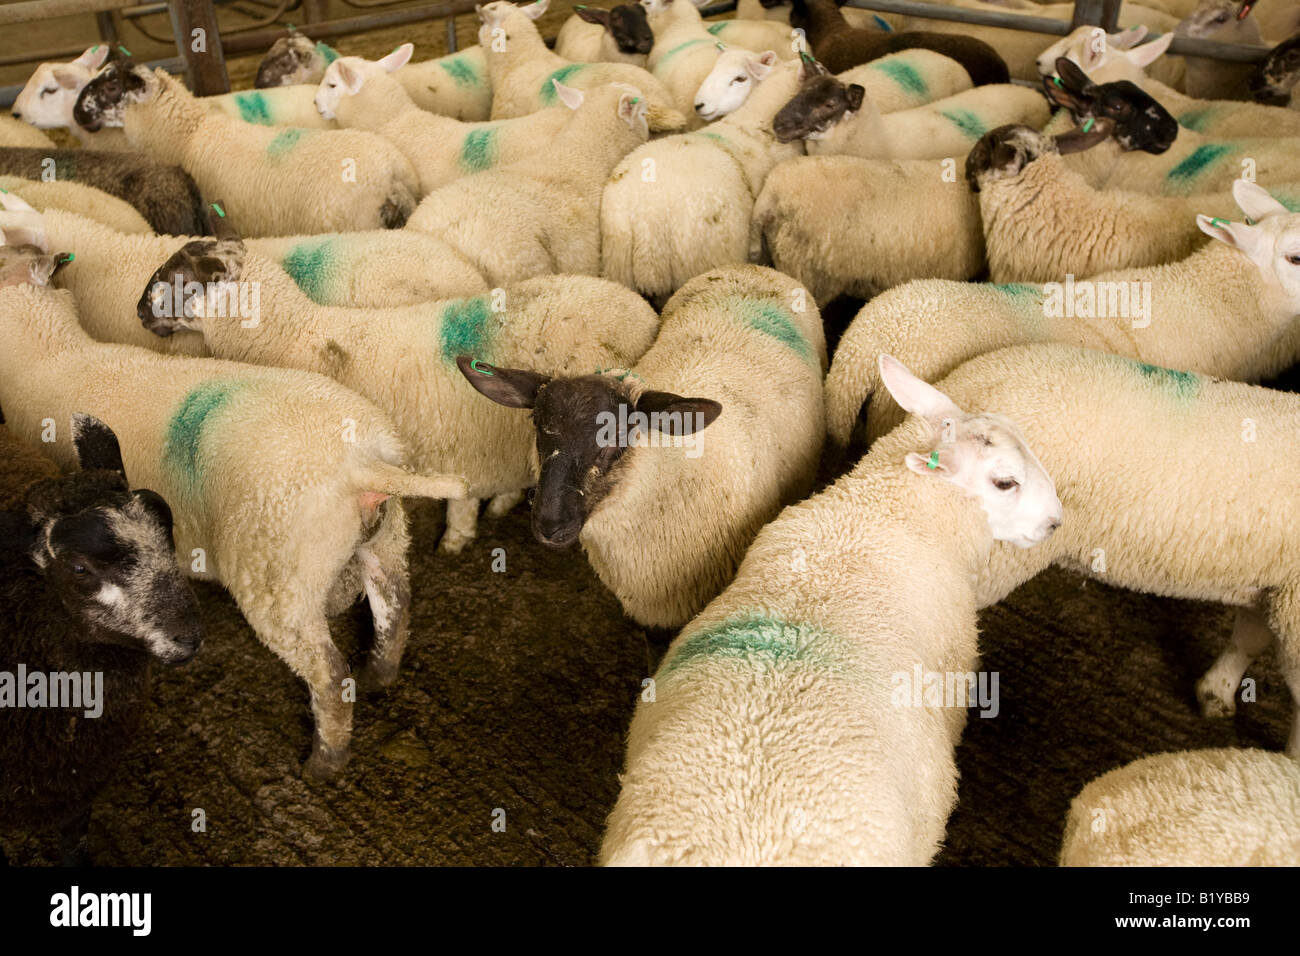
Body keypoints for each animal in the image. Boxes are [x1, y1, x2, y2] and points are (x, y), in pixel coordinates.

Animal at [0, 239, 469, 779]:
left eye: (176, 281)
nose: (139, 312)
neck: (51, 353)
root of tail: (365, 468)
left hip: (279, 582)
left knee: (328, 674)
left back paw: (325, 760)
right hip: (384, 541)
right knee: (395, 608)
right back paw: (380, 675)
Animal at [133, 216, 661, 553]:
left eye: (178, 278)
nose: (138, 312)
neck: (301, 337)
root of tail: (640, 308)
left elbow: (460, 502)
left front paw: (453, 542)